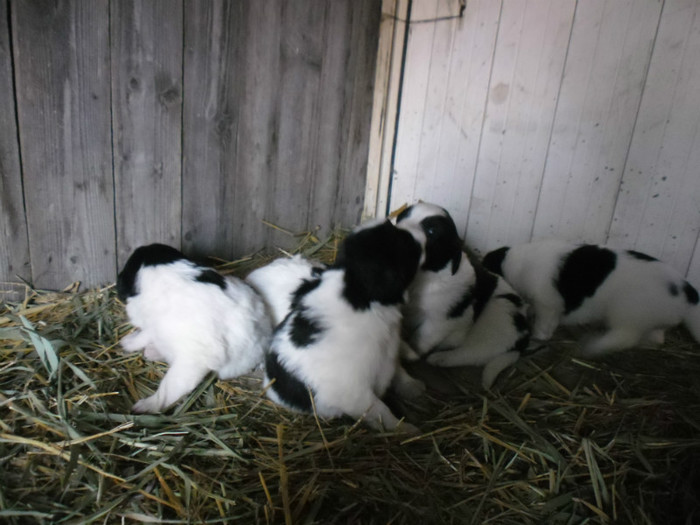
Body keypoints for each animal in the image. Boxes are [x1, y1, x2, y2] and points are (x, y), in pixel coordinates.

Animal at [262, 219, 424, 432]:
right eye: (400, 243)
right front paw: (407, 430)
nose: (421, 234)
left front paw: (415, 389)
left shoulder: (387, 359)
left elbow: (399, 373)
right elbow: (381, 412)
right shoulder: (355, 392)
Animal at [394, 203, 532, 386]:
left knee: (473, 353)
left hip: (498, 315)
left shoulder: (441, 320)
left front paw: (410, 352)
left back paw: (440, 358)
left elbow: (422, 338)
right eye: (402, 217)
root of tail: (524, 335)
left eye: (431, 232)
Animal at [484, 238, 700, 354]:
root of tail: (687, 292)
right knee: (656, 337)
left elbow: (544, 326)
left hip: (627, 316)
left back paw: (594, 346)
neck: (516, 262)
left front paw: (538, 337)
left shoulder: (548, 305)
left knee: (624, 338)